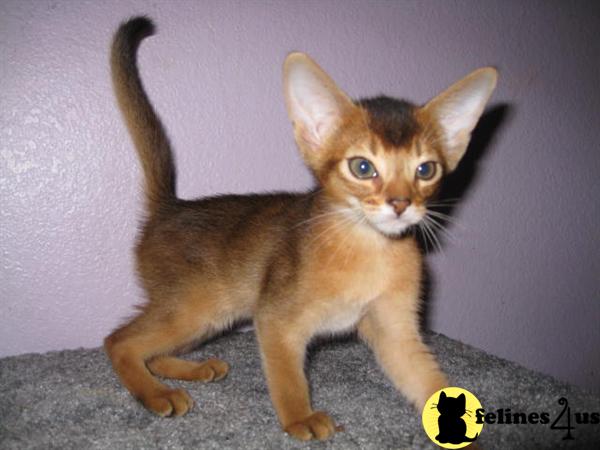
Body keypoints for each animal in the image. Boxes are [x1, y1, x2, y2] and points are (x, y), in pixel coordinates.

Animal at [106, 15, 496, 442]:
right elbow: (289, 378)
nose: (399, 203)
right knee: (120, 341)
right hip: (197, 306)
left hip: (206, 313)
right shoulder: (275, 318)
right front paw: (300, 418)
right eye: (362, 167)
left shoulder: (396, 330)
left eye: (426, 170)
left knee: (152, 350)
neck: (370, 250)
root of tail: (170, 207)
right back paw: (156, 393)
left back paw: (194, 369)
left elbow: (427, 380)